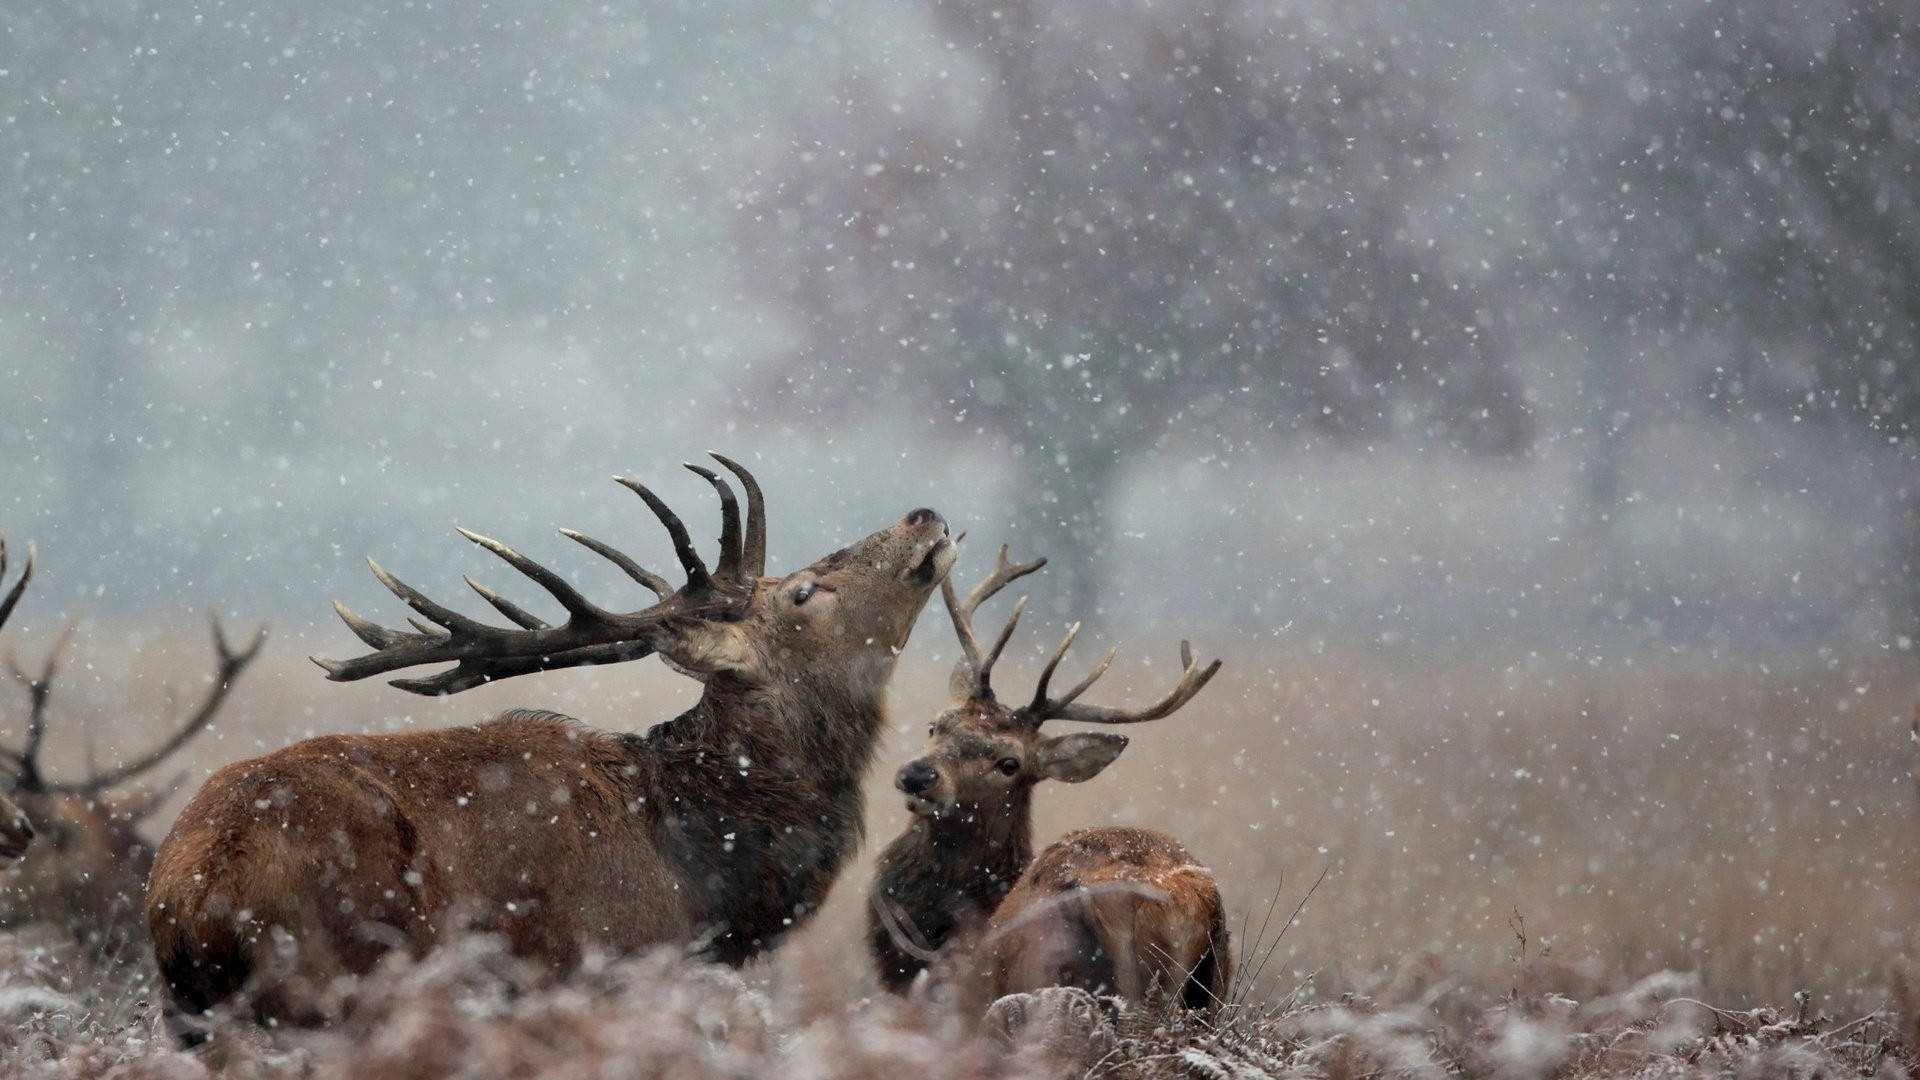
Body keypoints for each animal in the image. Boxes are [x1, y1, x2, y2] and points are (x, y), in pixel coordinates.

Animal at [146, 455, 956, 1040]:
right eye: (805, 592)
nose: (924, 515)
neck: (704, 883)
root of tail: (191, 893)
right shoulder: (606, 969)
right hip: (339, 981)